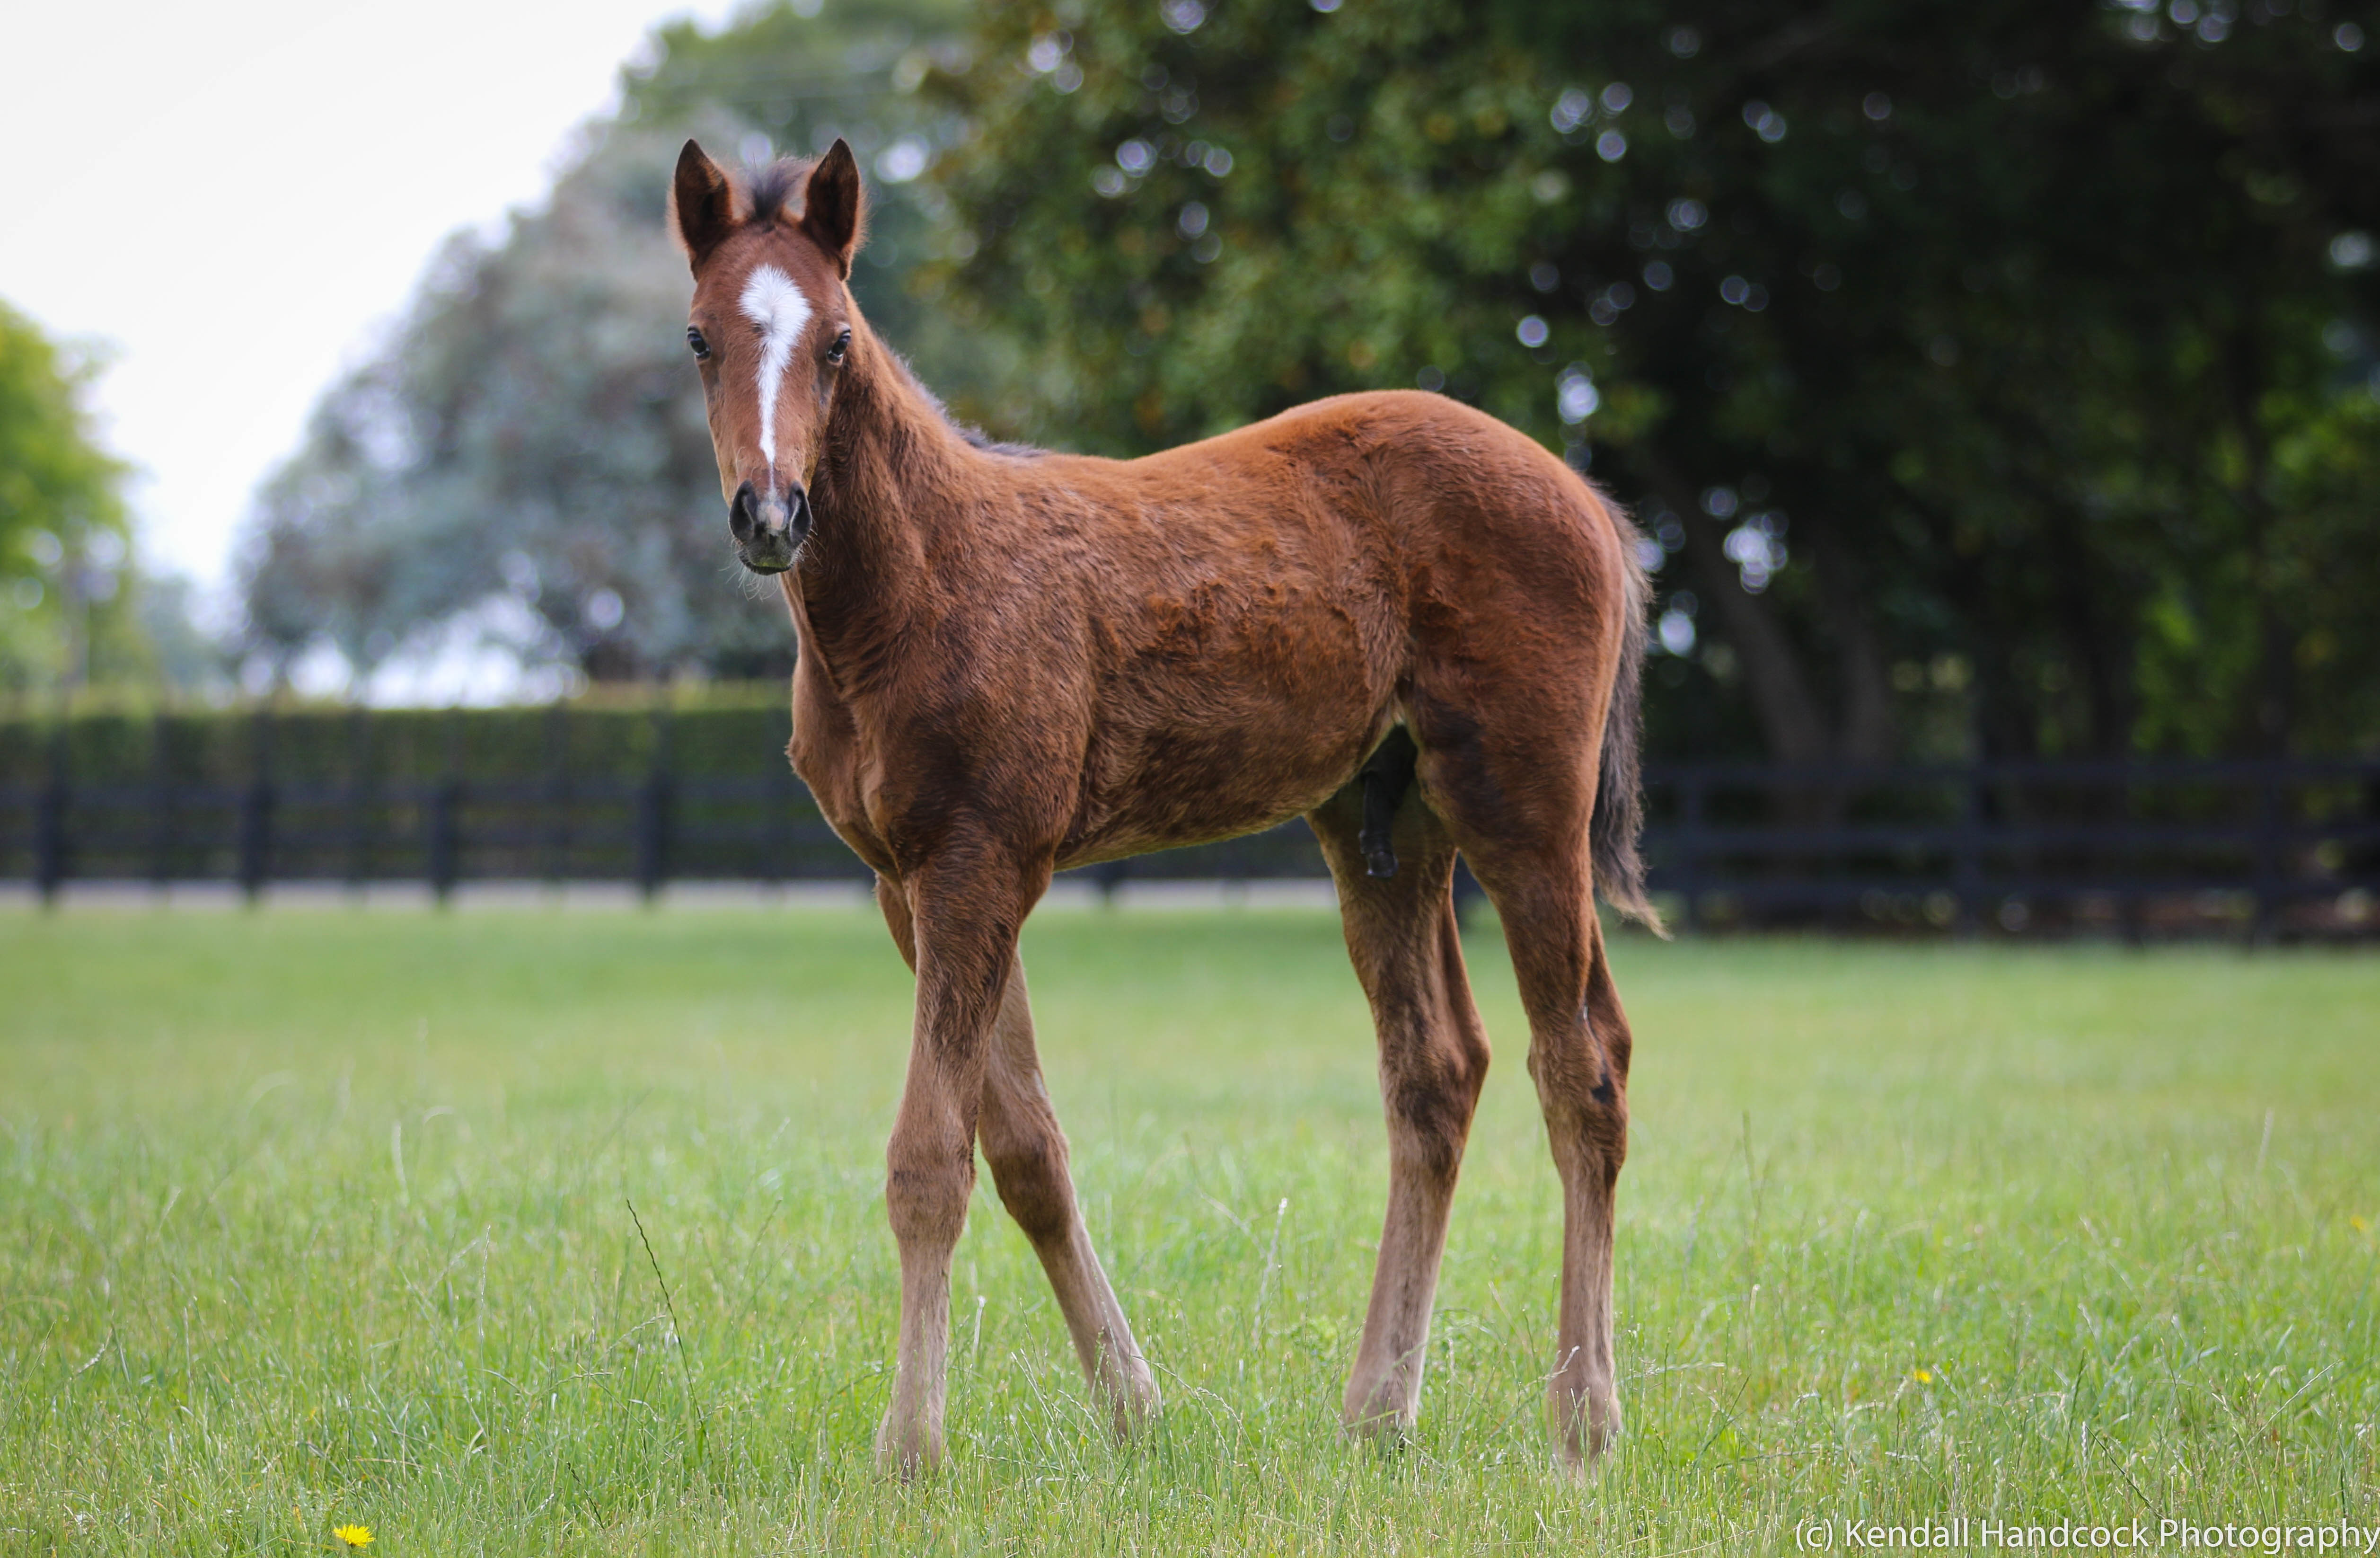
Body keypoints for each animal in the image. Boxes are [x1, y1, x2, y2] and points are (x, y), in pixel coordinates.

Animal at [666, 137, 1656, 1477]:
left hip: (1524, 811)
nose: (769, 515)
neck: (923, 583)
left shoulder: (979, 861)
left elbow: (930, 1159)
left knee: (1582, 1068)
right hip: (1383, 826)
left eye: (835, 339)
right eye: (699, 338)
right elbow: (1026, 1149)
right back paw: (1375, 1410)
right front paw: (1132, 1405)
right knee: (1437, 1071)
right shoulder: (908, 881)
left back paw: (1583, 1420)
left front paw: (910, 1446)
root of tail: (1585, 499)